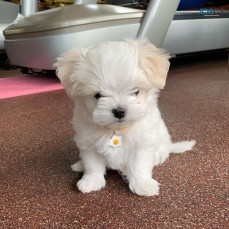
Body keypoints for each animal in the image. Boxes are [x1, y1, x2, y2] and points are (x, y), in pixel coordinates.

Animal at [53, 39, 195, 197]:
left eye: (135, 92)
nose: (119, 111)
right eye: (97, 95)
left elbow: (140, 165)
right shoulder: (88, 143)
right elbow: (93, 165)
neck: (117, 130)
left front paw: (142, 184)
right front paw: (91, 181)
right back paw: (80, 165)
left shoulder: (142, 144)